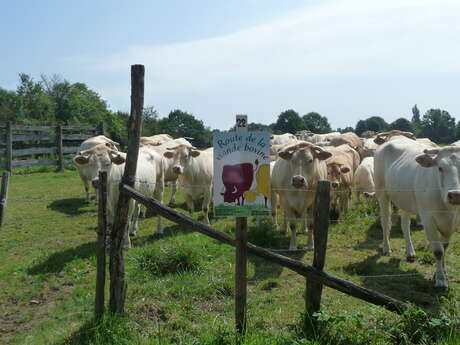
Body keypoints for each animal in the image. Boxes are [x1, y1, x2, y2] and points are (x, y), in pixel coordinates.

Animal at [376, 137, 460, 288]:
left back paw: (410, 252)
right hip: (382, 194)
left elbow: (444, 248)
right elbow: (438, 251)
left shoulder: (454, 222)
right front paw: (440, 280)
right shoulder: (428, 219)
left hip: (406, 200)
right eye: (440, 168)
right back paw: (386, 247)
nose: (455, 195)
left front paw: (442, 274)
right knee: (385, 222)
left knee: (405, 224)